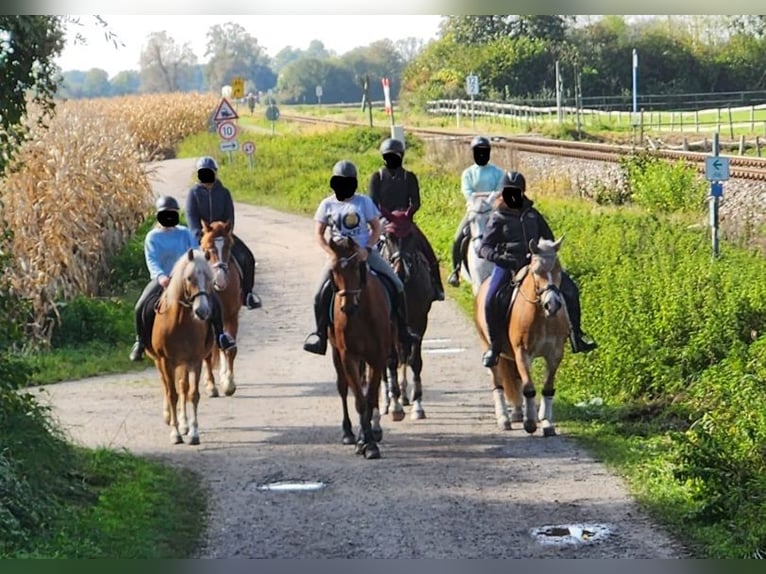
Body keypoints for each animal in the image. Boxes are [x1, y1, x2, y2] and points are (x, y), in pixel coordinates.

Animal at [146, 250, 216, 448]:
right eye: (189, 278)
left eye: (209, 278)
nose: (202, 311)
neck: (180, 322)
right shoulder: (165, 361)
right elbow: (172, 395)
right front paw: (175, 434)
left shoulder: (195, 360)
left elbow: (192, 394)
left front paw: (193, 433)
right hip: (160, 362)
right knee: (167, 386)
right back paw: (169, 417)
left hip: (183, 363)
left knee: (183, 387)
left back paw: (184, 424)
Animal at [328, 236, 396, 462]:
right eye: (334, 270)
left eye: (357, 266)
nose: (347, 307)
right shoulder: (348, 356)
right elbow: (359, 401)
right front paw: (363, 443)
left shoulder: (378, 356)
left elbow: (370, 398)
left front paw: (371, 444)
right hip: (336, 353)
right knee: (342, 387)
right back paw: (349, 433)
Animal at [380, 209, 436, 420]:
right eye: (389, 237)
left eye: (411, 235)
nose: (401, 272)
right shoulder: (390, 323)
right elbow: (391, 361)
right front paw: (394, 405)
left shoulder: (419, 321)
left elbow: (415, 361)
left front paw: (418, 405)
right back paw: (387, 400)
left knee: (404, 354)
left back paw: (403, 395)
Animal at [474, 236, 568, 438]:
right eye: (536, 271)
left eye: (558, 269)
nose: (552, 305)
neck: (542, 316)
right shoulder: (522, 353)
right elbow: (529, 388)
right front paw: (530, 423)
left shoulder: (555, 355)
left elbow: (547, 388)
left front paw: (546, 423)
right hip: (489, 347)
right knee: (498, 383)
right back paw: (504, 419)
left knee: (516, 380)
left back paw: (517, 413)